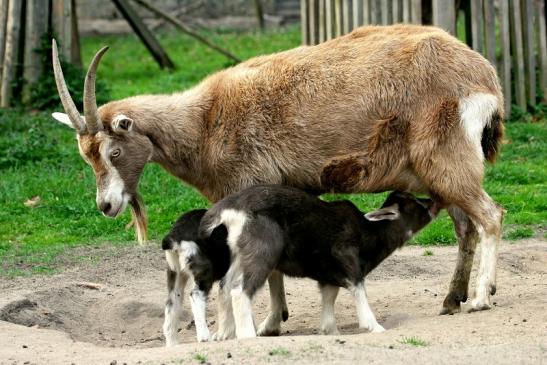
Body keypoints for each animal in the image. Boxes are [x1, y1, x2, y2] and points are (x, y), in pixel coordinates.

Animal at [51, 24, 506, 336]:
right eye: (85, 156)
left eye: (113, 152)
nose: (107, 206)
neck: (205, 120)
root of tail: (483, 75)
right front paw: (274, 320)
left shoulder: (250, 189)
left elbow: (264, 264)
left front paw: (263, 324)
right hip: (436, 175)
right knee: (465, 226)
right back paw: (451, 299)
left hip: (447, 162)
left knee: (490, 216)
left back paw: (479, 299)